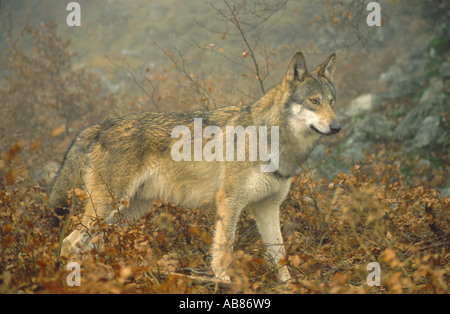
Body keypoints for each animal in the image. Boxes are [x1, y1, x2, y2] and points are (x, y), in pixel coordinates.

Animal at [50, 51, 342, 282]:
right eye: (314, 101)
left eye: (332, 101)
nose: (338, 126)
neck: (273, 139)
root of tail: (99, 126)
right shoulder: (230, 202)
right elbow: (224, 250)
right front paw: (223, 281)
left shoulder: (268, 206)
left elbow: (279, 253)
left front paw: (288, 284)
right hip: (109, 207)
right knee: (69, 242)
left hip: (127, 211)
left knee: (91, 245)